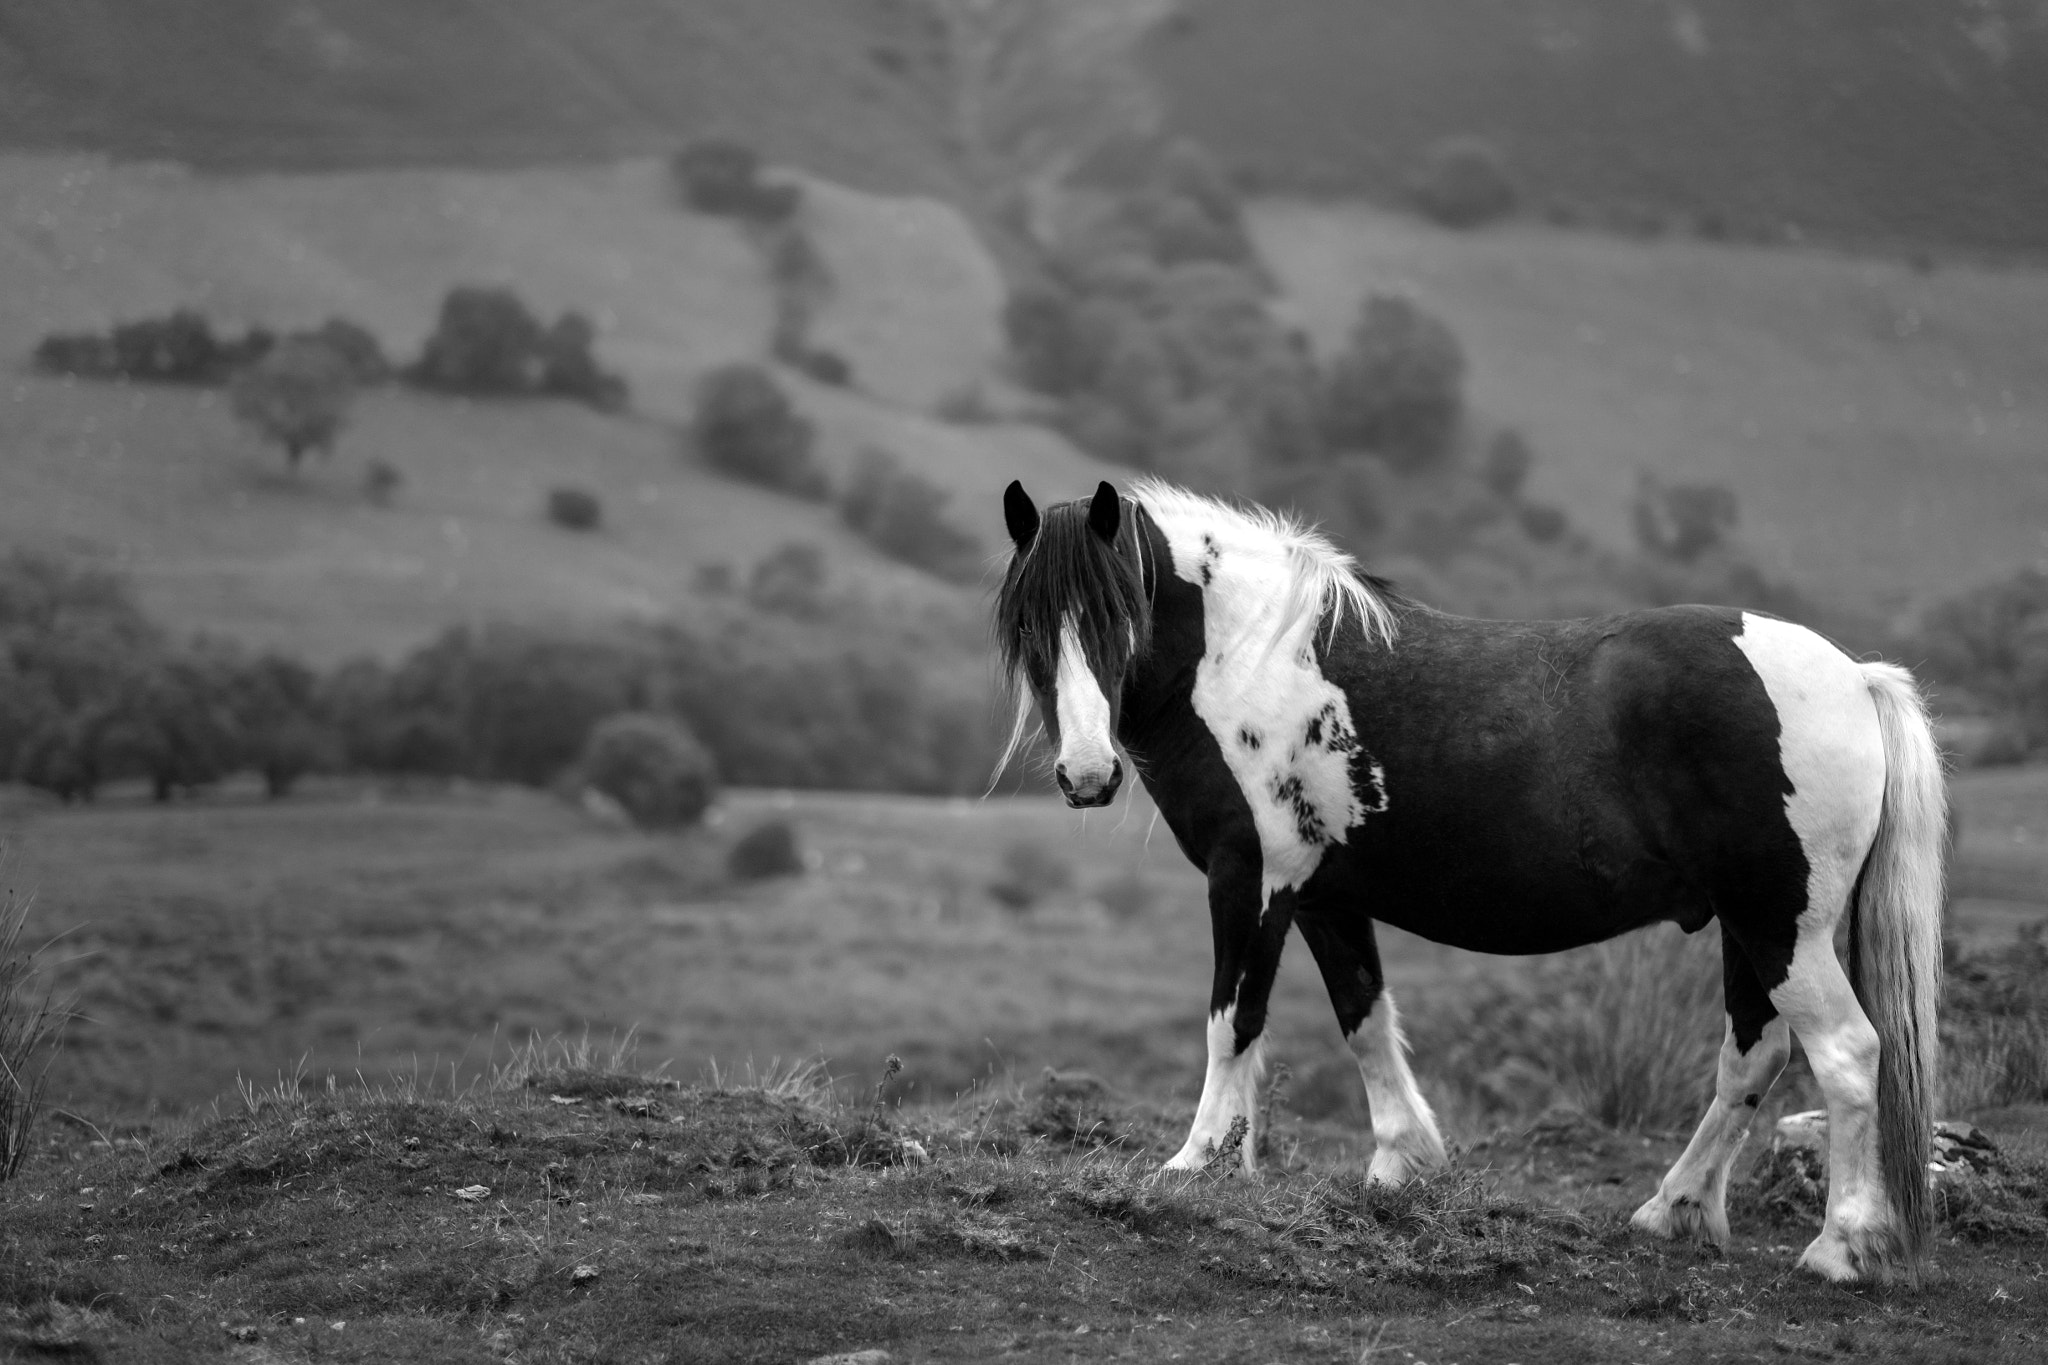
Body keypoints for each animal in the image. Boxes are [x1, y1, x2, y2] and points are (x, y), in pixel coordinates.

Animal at [992, 477, 1945, 1284]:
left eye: (1118, 616)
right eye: (1032, 627)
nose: (1087, 775)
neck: (1252, 658)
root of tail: (1855, 678)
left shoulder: (1252, 882)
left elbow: (1234, 1021)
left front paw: (1197, 1162)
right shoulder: (1328, 898)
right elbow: (1365, 1020)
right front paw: (1401, 1162)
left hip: (1783, 925)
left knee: (1847, 1055)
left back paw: (1841, 1247)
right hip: (1750, 928)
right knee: (1754, 1055)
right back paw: (1672, 1211)